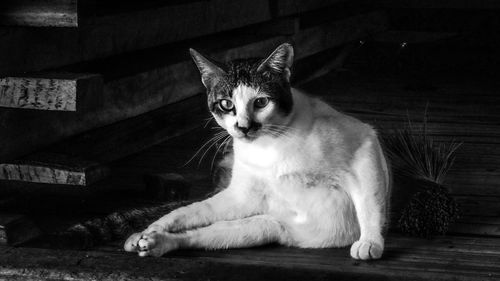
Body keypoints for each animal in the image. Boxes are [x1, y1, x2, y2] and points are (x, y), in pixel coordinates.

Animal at [124, 42, 390, 260]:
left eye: (261, 102)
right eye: (226, 104)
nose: (243, 127)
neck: (267, 149)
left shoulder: (365, 141)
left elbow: (369, 203)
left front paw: (370, 242)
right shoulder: (241, 195)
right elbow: (190, 210)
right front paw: (155, 226)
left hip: (265, 226)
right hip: (259, 225)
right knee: (201, 229)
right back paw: (153, 239)